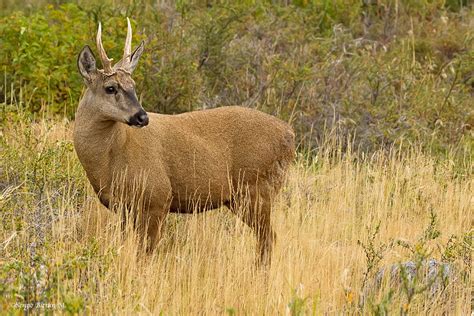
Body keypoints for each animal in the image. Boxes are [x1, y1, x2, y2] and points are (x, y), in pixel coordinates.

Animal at [74, 18, 294, 266]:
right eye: (110, 88)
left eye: (133, 86)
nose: (142, 117)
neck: (109, 159)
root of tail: (289, 134)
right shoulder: (124, 208)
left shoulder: (157, 197)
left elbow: (145, 254)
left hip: (256, 189)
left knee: (269, 238)